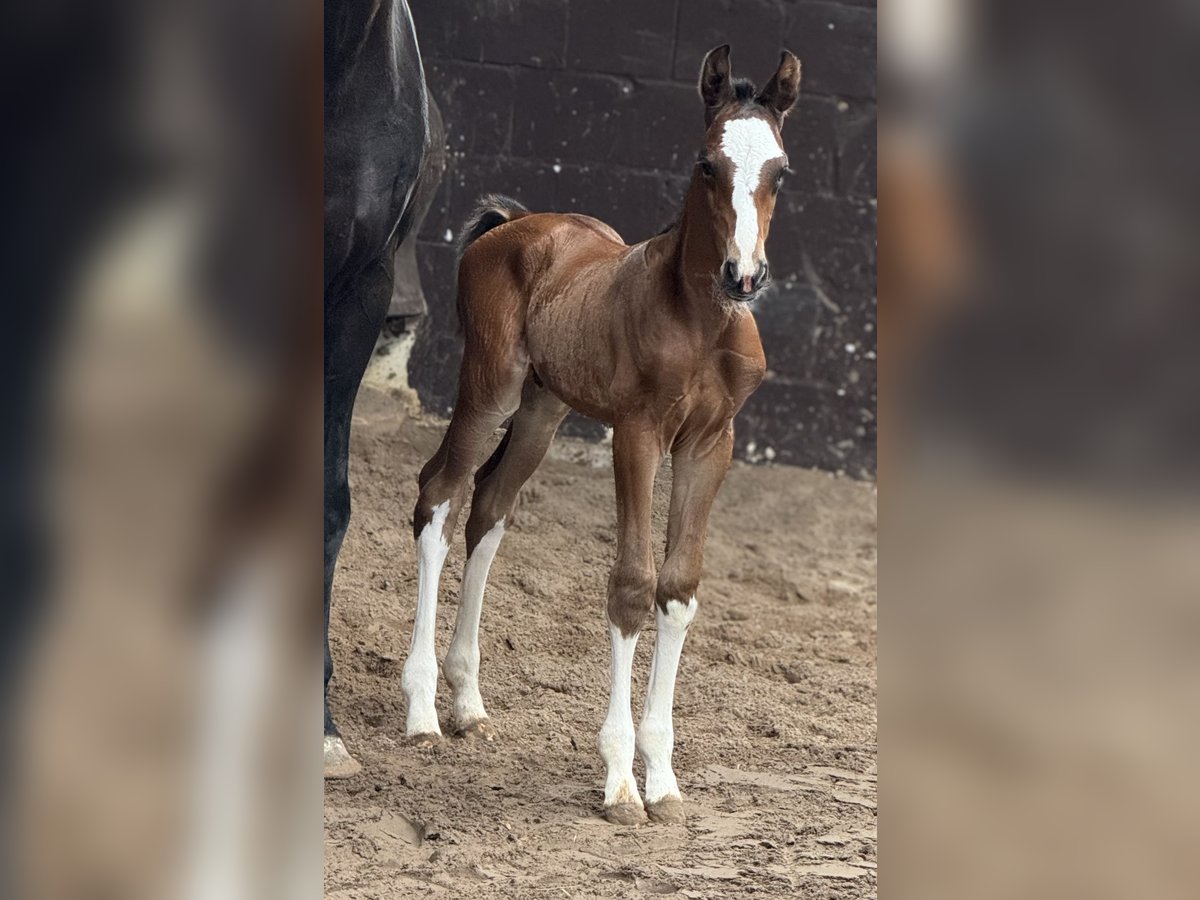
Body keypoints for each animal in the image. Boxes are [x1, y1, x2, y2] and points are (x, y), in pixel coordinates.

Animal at [398, 45, 801, 830]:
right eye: (707, 164)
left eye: (781, 169)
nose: (744, 275)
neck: (700, 319)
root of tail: (510, 224)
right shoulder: (638, 434)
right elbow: (632, 586)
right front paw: (619, 781)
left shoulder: (711, 444)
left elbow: (678, 588)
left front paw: (664, 781)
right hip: (490, 389)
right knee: (439, 494)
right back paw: (424, 711)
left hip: (542, 411)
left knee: (490, 507)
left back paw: (468, 702)